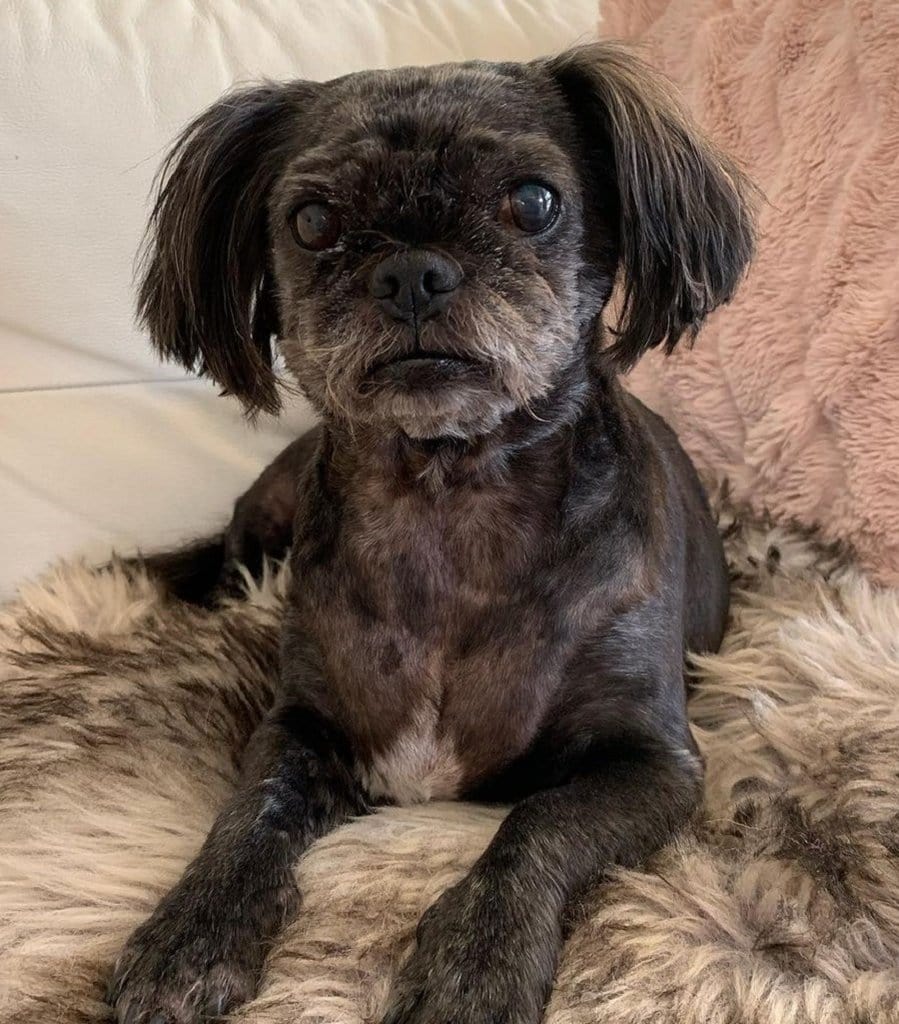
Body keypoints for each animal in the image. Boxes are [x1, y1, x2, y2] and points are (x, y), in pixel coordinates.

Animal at [107, 44, 761, 1024]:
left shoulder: (653, 761)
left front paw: (474, 964)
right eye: (311, 221)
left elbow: (537, 823)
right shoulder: (301, 721)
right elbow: (250, 811)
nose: (412, 271)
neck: (446, 501)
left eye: (533, 201)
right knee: (225, 563)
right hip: (265, 517)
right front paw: (191, 930)